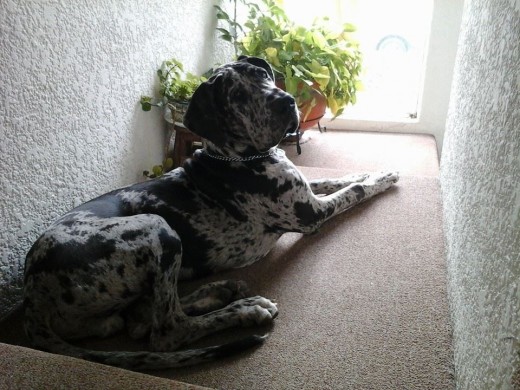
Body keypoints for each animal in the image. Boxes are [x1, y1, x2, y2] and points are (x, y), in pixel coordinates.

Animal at [23, 54, 398, 368]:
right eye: (238, 97)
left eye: (262, 75)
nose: (286, 101)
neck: (236, 156)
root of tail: (32, 295)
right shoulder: (311, 214)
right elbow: (354, 192)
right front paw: (382, 177)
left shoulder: (305, 192)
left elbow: (336, 179)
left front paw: (367, 171)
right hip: (156, 228)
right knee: (167, 330)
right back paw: (245, 310)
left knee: (143, 319)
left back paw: (221, 291)